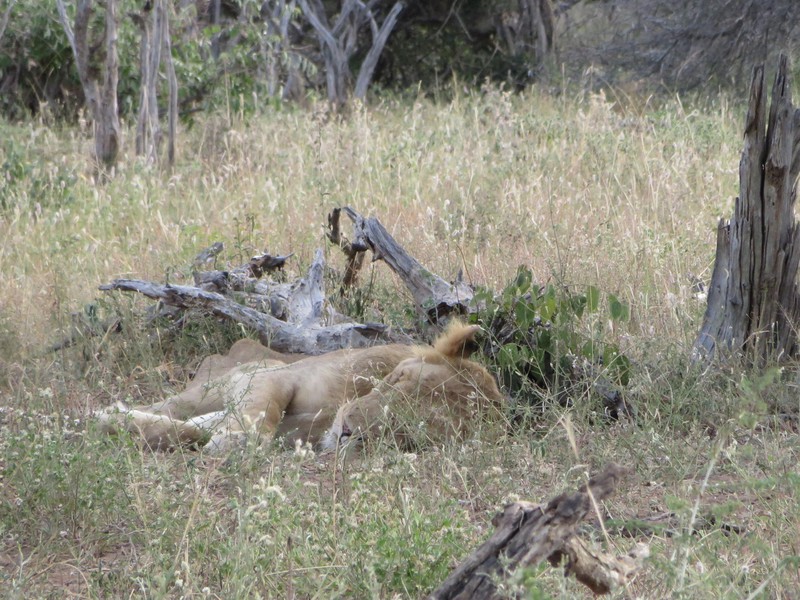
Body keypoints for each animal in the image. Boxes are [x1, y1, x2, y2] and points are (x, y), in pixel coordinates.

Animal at [97, 326, 504, 452]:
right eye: (400, 379)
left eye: (411, 432)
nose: (347, 431)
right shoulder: (276, 376)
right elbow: (266, 408)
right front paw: (238, 441)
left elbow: (192, 433)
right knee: (172, 407)